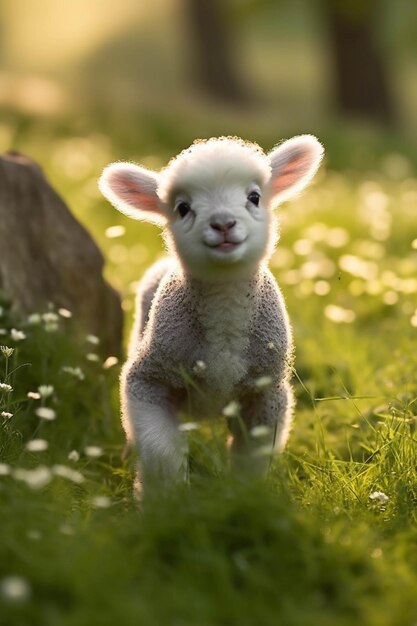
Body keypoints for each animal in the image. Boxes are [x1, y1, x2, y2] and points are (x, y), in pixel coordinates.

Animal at [99, 134, 324, 490]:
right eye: (183, 208)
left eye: (254, 197)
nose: (223, 224)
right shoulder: (149, 377)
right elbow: (161, 451)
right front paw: (166, 498)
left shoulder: (267, 391)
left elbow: (252, 457)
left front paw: (244, 494)